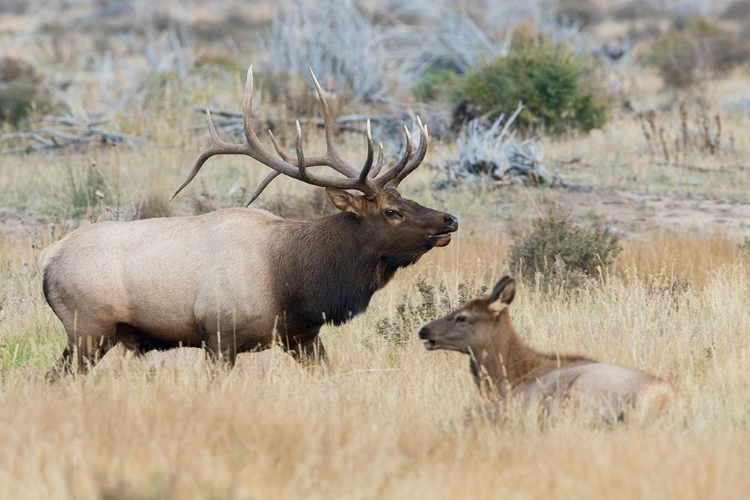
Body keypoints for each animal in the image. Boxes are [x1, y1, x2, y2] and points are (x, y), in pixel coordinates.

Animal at [41, 67, 458, 378]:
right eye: (391, 212)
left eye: (405, 199)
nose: (450, 219)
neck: (295, 283)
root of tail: (48, 258)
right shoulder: (219, 333)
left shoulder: (303, 336)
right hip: (88, 328)